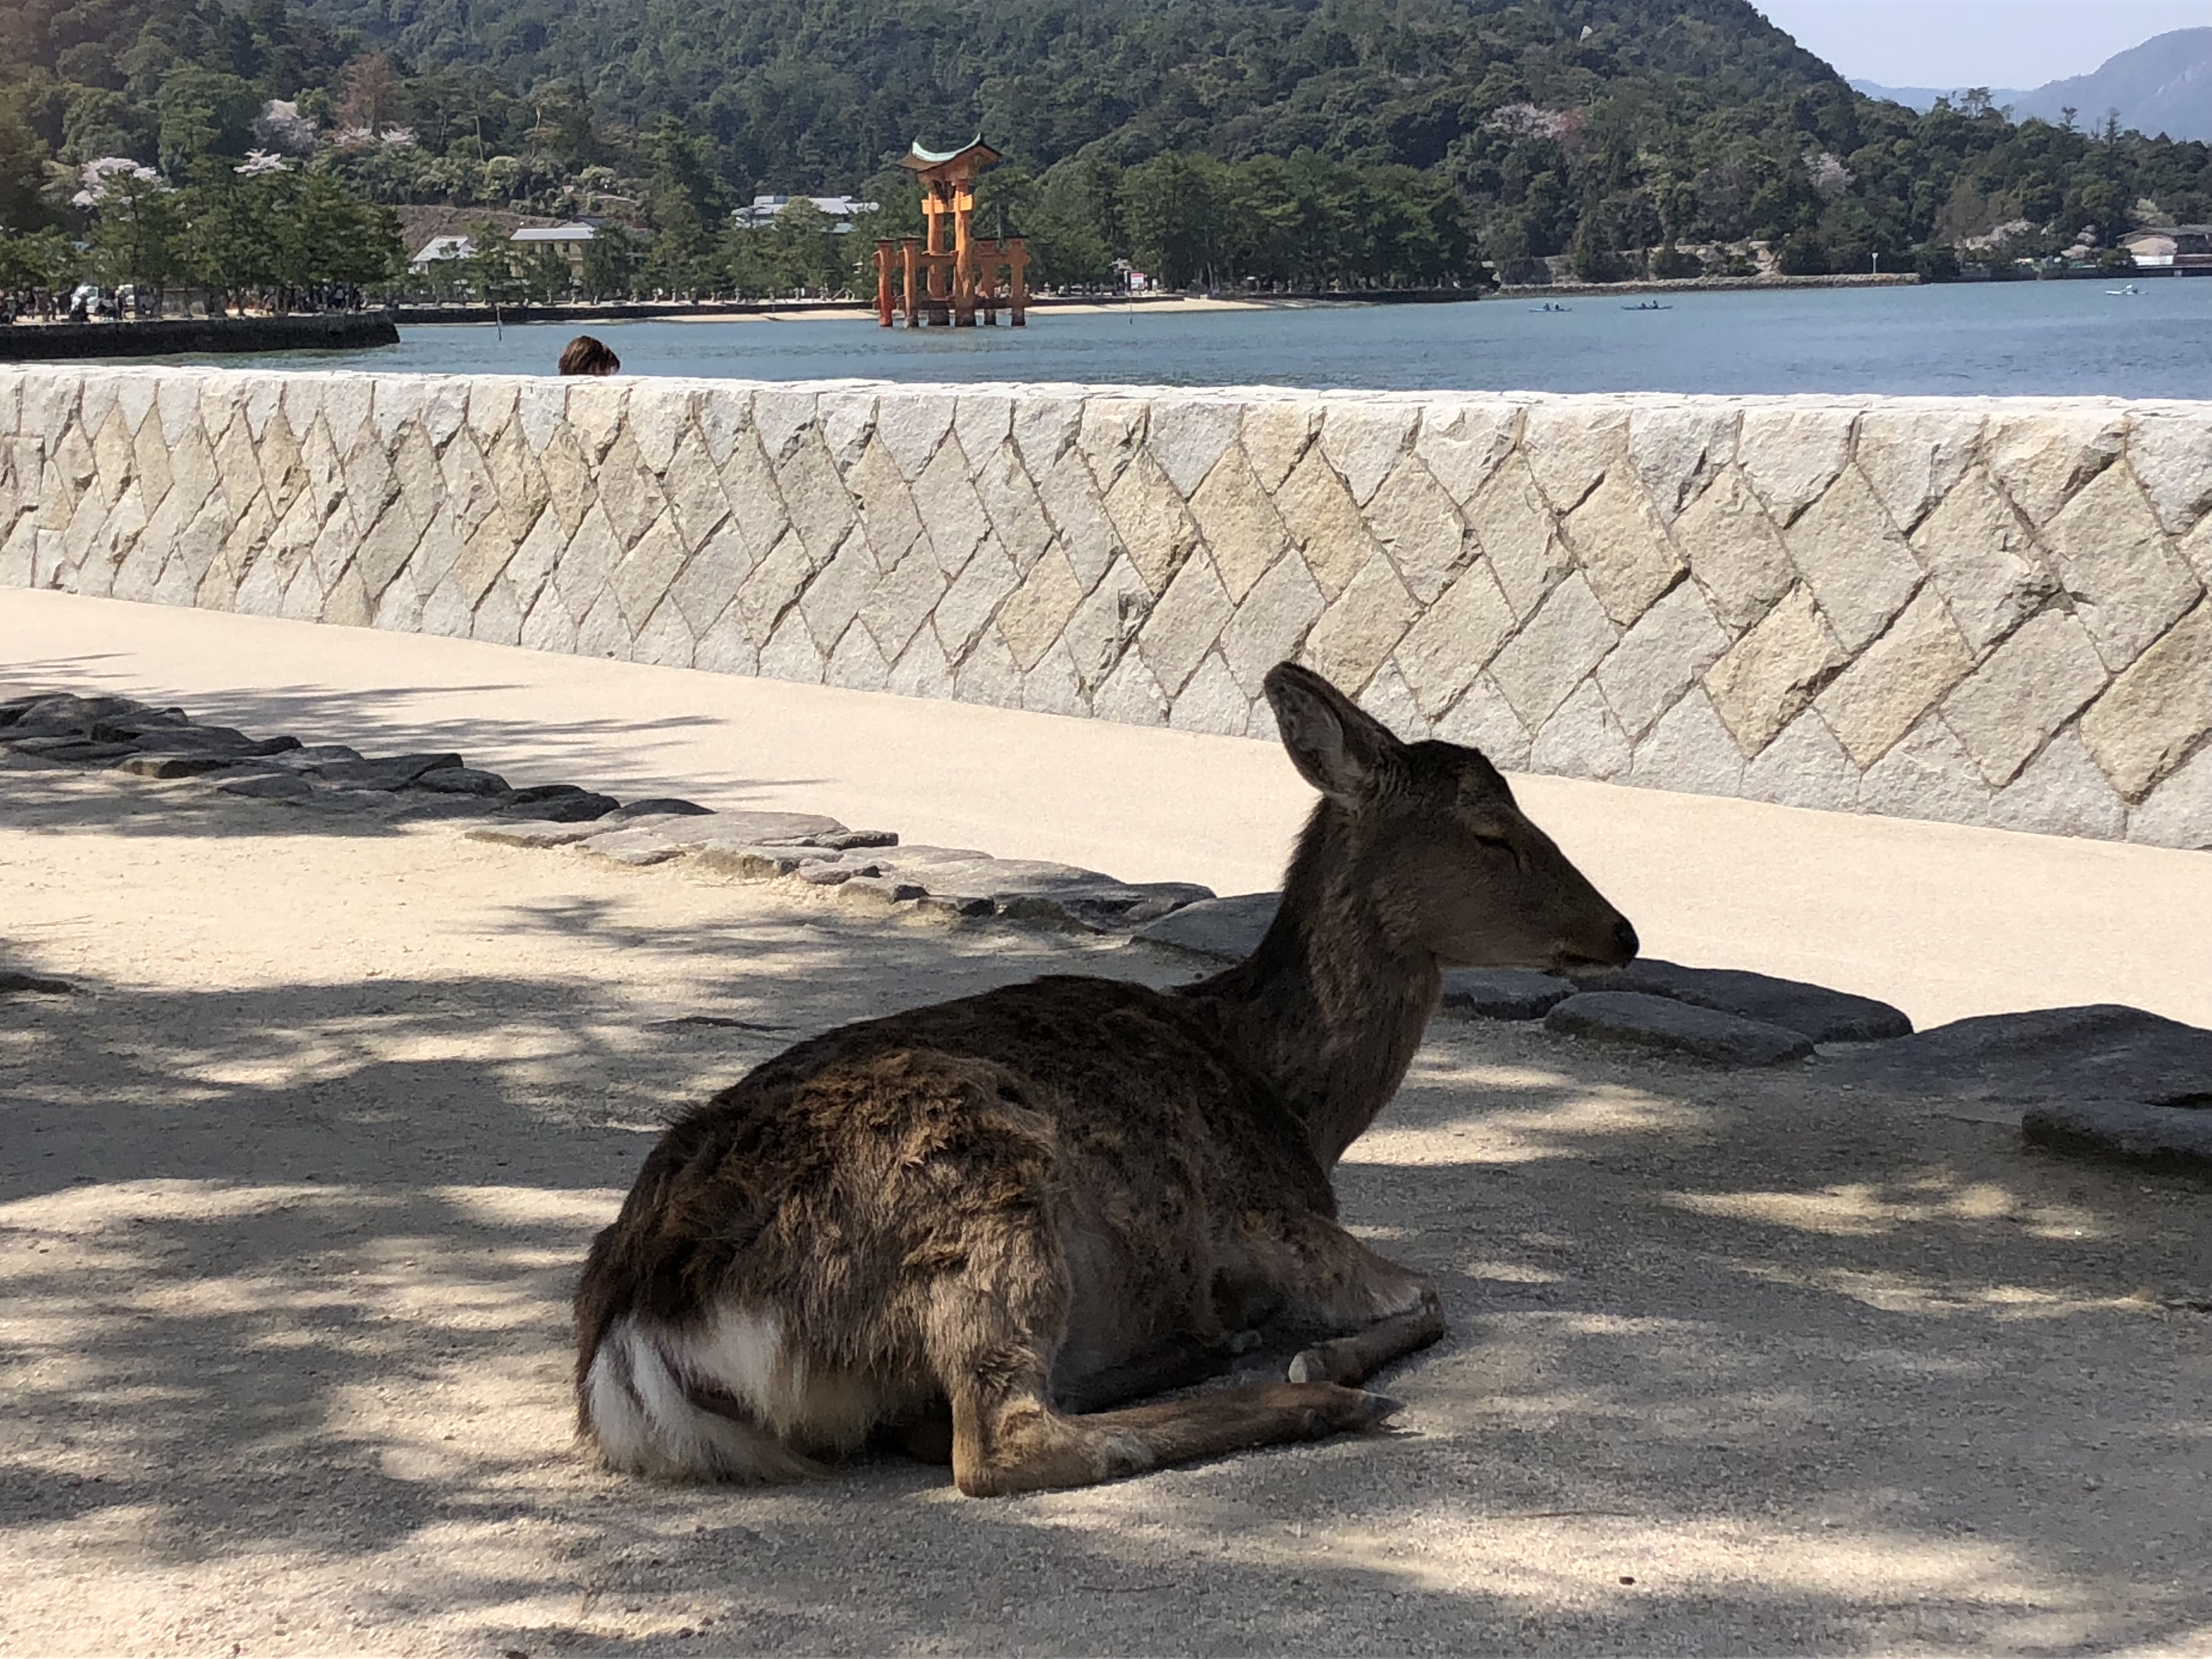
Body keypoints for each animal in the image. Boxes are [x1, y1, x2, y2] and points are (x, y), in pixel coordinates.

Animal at [575, 661, 1638, 1496]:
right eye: (1491, 830)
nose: (1622, 933)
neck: (1293, 1105)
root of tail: (640, 1325)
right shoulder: (1267, 1214)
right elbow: (1429, 1295)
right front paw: (1320, 1353)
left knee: (941, 1423)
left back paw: (1206, 1347)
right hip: (981, 1189)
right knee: (997, 1442)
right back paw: (1310, 1394)